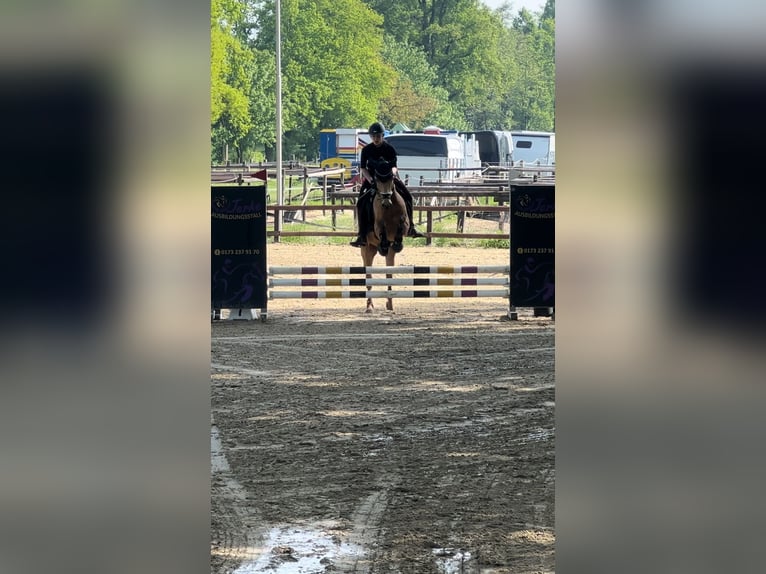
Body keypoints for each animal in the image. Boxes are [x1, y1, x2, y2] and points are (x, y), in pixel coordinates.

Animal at [358, 162, 408, 316]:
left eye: (391, 179)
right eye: (377, 180)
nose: (386, 202)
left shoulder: (404, 224)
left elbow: (401, 228)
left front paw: (398, 244)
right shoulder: (378, 227)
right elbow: (382, 231)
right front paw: (384, 244)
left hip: (389, 255)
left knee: (389, 274)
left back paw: (390, 304)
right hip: (367, 249)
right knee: (369, 277)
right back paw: (369, 306)